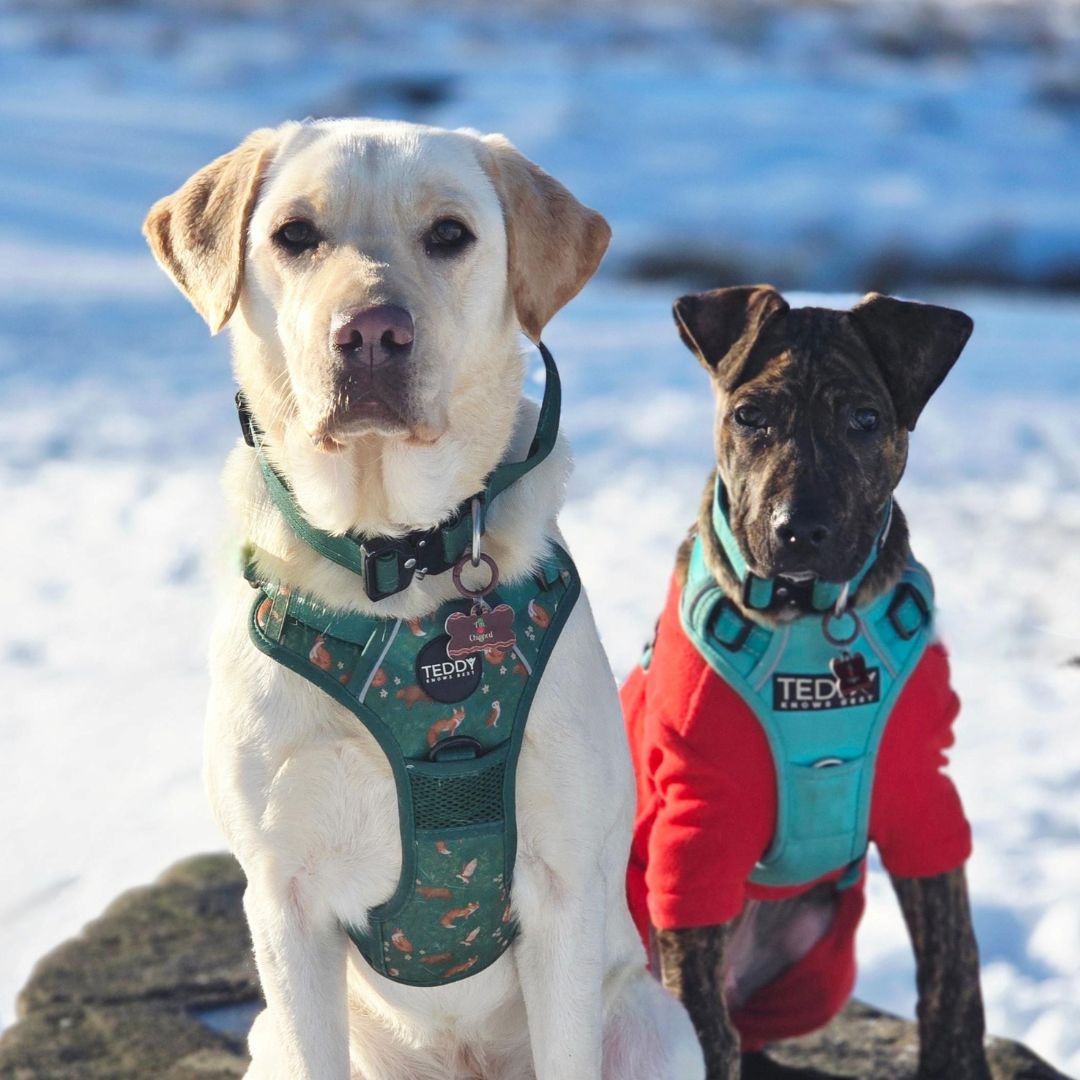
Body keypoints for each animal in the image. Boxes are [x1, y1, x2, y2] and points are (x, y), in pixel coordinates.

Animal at [143, 118, 703, 1080]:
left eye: (449, 234)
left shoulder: (563, 891)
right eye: (295, 234)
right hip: (270, 1042)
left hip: (655, 1026)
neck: (394, 567)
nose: (371, 333)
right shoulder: (284, 900)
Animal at [621, 286, 991, 1079]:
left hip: (822, 964)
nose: (800, 531)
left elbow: (955, 970)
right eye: (749, 416)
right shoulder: (699, 815)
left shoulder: (924, 796)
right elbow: (701, 1020)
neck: (815, 623)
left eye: (866, 420)